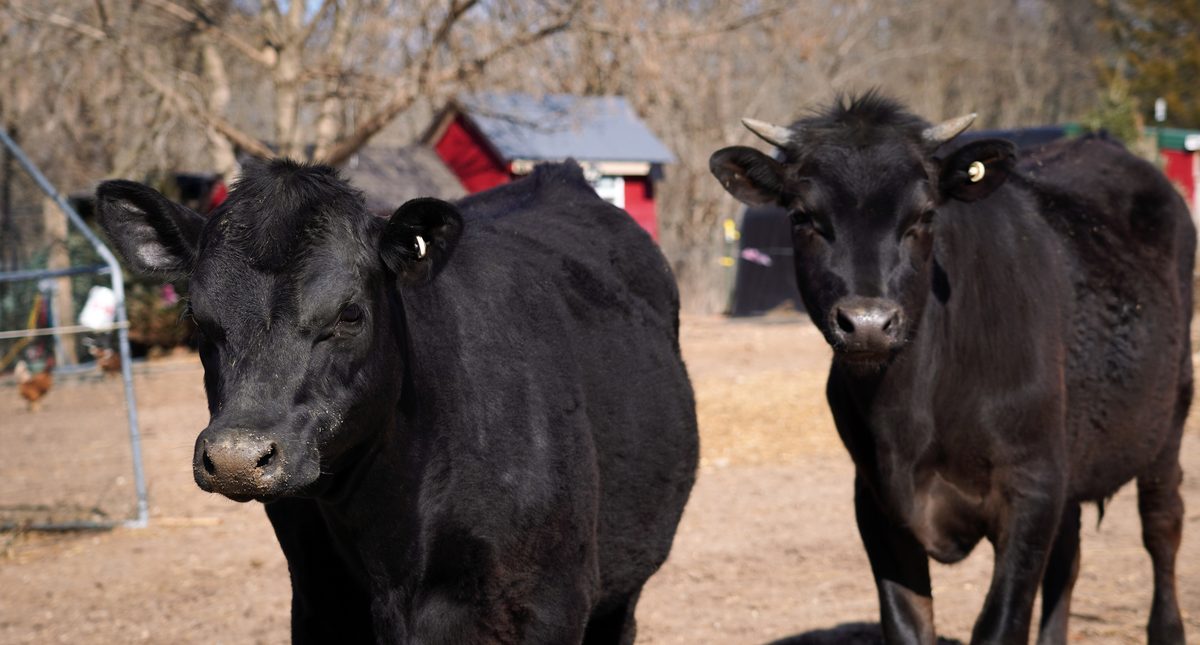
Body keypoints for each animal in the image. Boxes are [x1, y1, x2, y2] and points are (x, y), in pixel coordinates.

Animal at [709, 93, 1193, 645]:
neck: (914, 412)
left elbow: (1000, 623)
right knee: (1068, 556)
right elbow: (907, 623)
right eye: (802, 216)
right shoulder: (876, 502)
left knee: (1162, 525)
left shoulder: (1032, 487)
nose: (868, 323)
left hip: (1167, 419)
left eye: (923, 215)